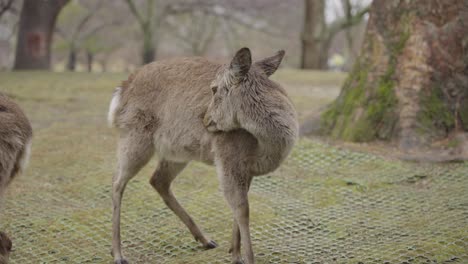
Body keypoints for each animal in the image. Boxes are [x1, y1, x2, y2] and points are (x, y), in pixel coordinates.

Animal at [109, 48, 296, 264]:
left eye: (214, 89)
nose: (205, 119)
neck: (263, 148)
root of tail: (121, 90)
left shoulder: (246, 170)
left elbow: (238, 209)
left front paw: (234, 252)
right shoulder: (228, 158)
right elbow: (243, 210)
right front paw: (245, 258)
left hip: (177, 153)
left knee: (158, 180)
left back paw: (206, 240)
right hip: (135, 138)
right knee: (117, 182)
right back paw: (118, 254)